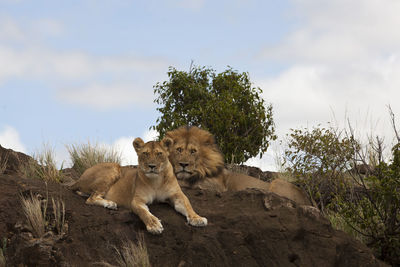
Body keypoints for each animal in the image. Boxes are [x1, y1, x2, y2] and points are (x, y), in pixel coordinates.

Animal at [69, 138, 206, 234]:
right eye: (145, 153)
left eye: (159, 154)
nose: (152, 166)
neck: (156, 180)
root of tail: (79, 178)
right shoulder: (137, 200)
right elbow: (144, 212)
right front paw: (154, 225)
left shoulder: (177, 195)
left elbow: (188, 206)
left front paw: (197, 219)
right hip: (114, 168)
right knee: (90, 198)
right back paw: (110, 203)